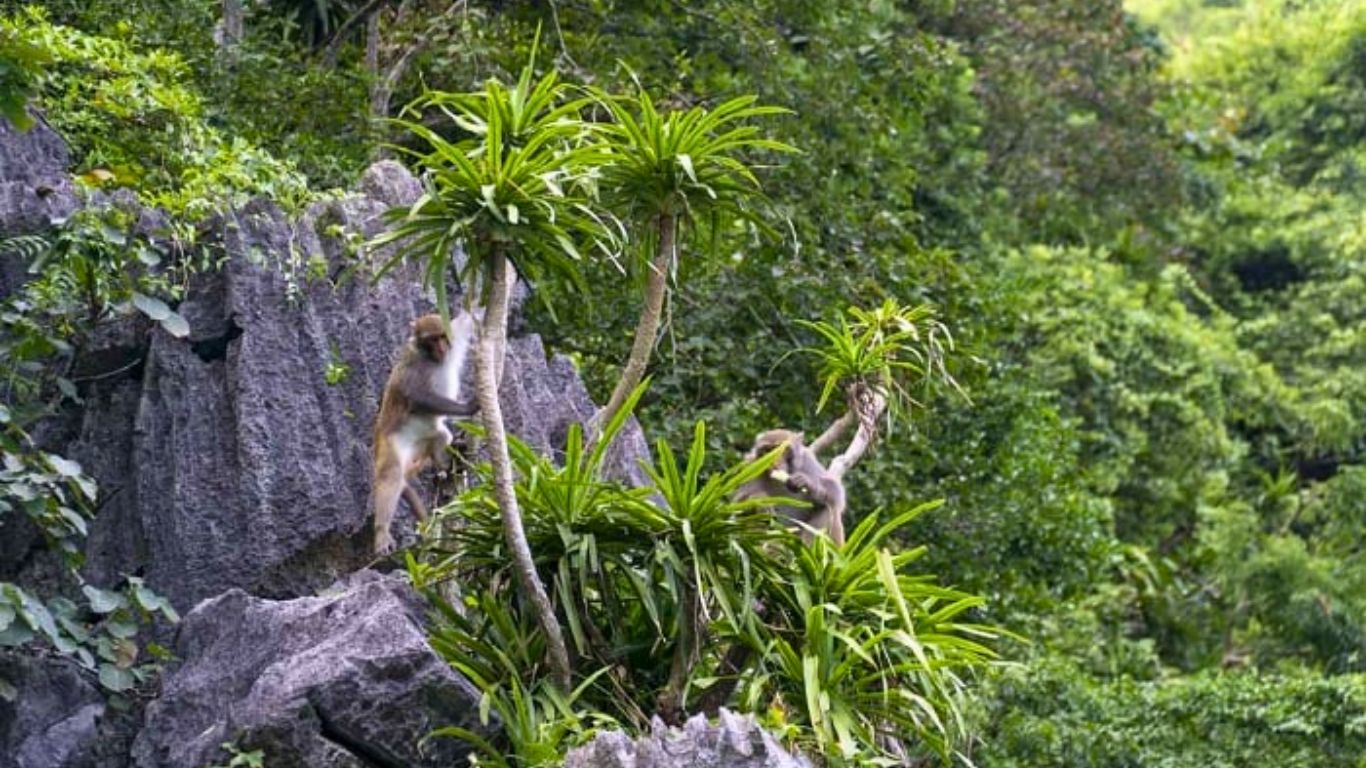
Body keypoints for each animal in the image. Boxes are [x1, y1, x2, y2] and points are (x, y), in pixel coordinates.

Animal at [374, 307, 480, 552]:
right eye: (432, 339)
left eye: (442, 336)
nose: (441, 347)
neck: (432, 359)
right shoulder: (414, 368)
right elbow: (418, 398)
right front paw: (468, 407)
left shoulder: (455, 332)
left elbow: (469, 317)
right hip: (391, 442)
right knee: (391, 473)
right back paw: (381, 531)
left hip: (422, 441)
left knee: (440, 436)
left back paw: (445, 465)